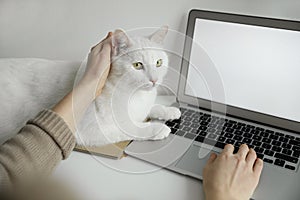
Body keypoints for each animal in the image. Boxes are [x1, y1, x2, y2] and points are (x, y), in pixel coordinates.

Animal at [0, 26, 180, 146]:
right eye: (137, 65)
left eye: (159, 62)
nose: (154, 80)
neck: (136, 95)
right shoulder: (90, 130)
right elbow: (130, 127)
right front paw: (157, 129)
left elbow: (151, 108)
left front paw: (169, 110)